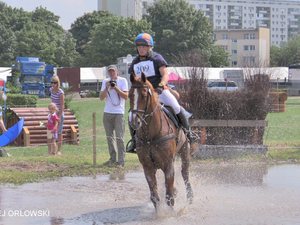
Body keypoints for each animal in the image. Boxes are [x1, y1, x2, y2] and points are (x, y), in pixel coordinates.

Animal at [128, 72, 193, 211]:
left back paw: (190, 196)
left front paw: (170, 213)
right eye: (130, 94)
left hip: (185, 151)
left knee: (185, 173)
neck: (150, 136)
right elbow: (155, 196)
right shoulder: (147, 167)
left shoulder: (167, 164)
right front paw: (159, 213)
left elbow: (169, 197)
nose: (134, 121)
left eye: (144, 95)